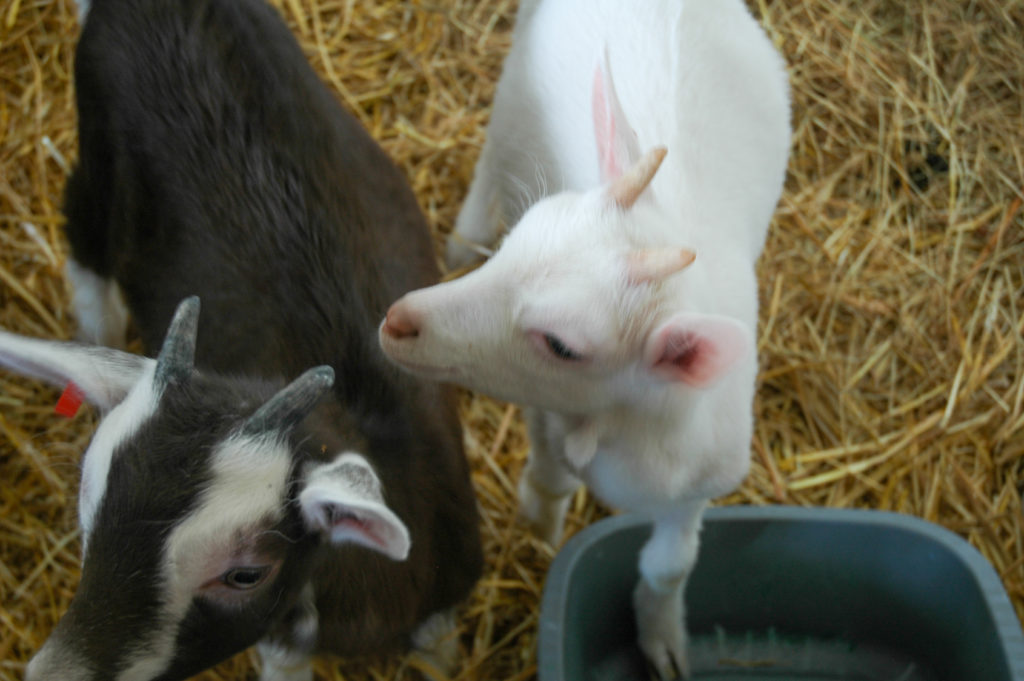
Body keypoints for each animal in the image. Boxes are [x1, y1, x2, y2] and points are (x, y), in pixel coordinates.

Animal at [0, 0, 482, 679]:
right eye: (86, 523)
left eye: (245, 574)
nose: (53, 673)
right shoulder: (282, 642)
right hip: (96, 150)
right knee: (83, 234)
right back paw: (92, 329)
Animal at [379, 0, 790, 677]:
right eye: (518, 236)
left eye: (563, 346)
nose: (398, 321)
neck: (619, 427)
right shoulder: (548, 419)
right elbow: (550, 483)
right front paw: (542, 541)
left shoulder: (698, 484)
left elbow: (672, 564)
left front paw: (664, 639)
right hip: (514, 84)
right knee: (491, 153)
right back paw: (464, 238)